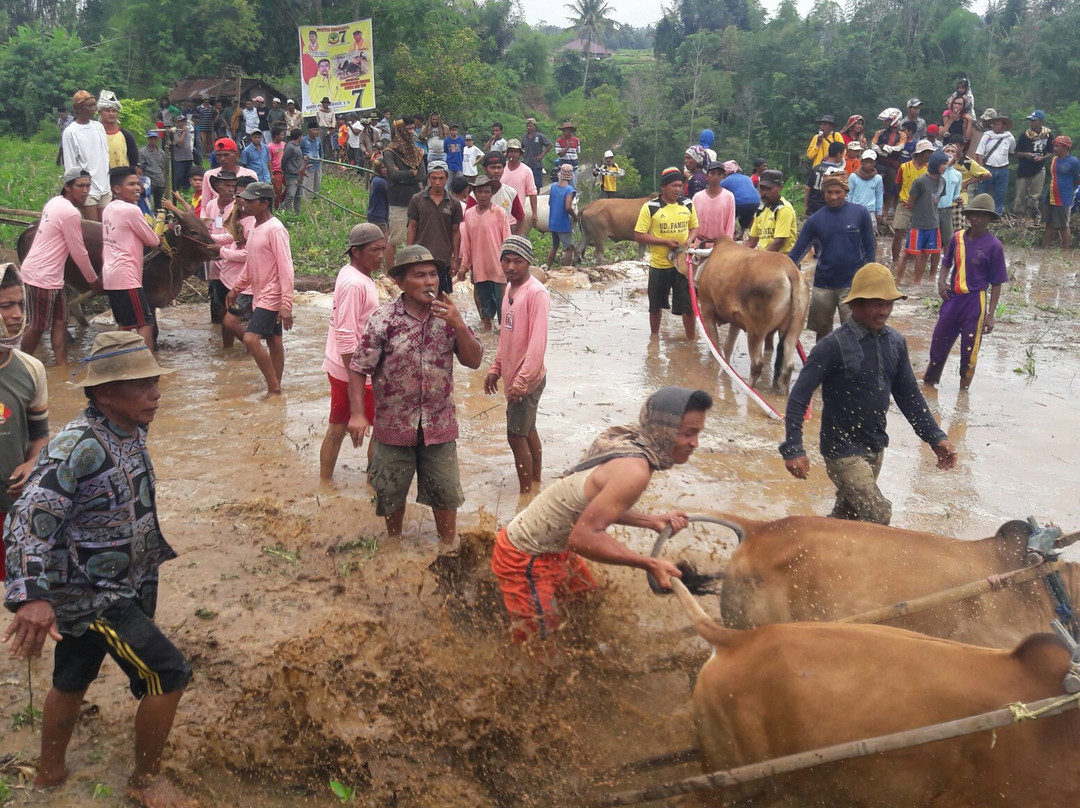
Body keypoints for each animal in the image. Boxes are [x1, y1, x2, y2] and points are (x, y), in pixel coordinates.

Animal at [695, 235, 807, 393]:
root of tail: (791, 270)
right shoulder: (735, 321)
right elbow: (727, 347)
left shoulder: (707, 312)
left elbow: (715, 347)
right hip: (793, 330)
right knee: (787, 366)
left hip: (756, 330)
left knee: (757, 364)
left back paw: (748, 386)